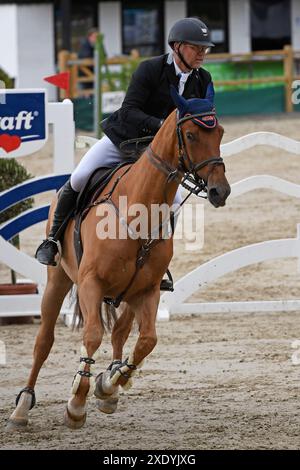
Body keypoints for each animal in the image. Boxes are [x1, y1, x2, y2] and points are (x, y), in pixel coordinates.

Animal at [8, 83, 231, 430]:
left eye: (219, 131)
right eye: (191, 135)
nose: (221, 191)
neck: (138, 211)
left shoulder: (148, 290)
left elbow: (146, 340)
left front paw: (109, 383)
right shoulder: (90, 283)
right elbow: (91, 336)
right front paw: (77, 402)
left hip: (128, 293)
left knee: (121, 331)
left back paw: (111, 382)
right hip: (58, 280)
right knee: (44, 341)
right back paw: (22, 406)